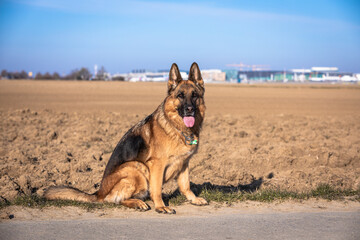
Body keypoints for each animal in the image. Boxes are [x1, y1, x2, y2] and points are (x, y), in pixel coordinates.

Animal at [44, 62, 208, 214]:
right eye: (180, 95)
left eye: (194, 95)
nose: (189, 110)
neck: (177, 128)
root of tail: (98, 193)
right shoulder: (156, 164)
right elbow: (157, 189)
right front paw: (161, 206)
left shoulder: (184, 163)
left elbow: (186, 185)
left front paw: (193, 199)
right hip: (136, 167)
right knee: (114, 199)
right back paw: (137, 203)